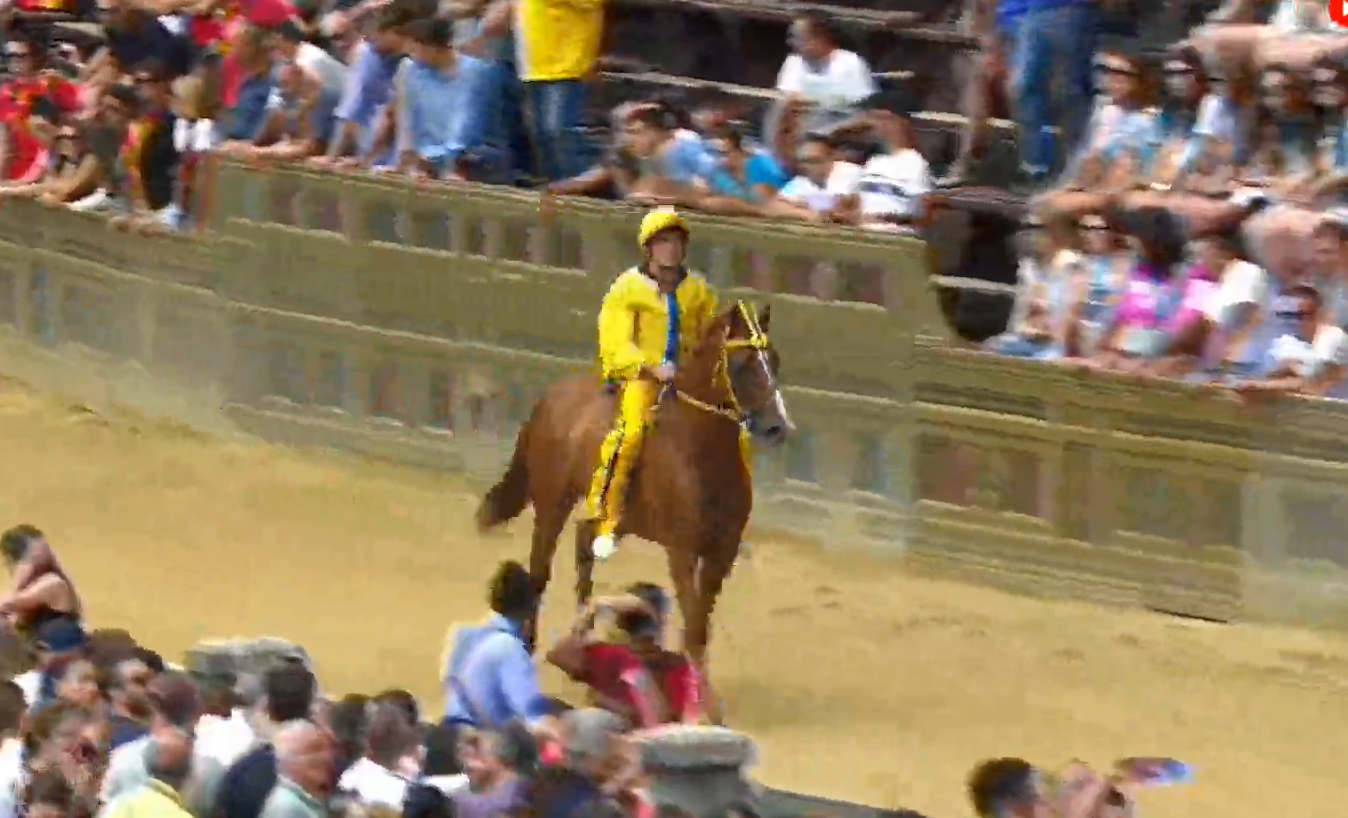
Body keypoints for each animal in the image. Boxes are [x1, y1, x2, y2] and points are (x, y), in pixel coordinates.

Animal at [474, 300, 787, 679]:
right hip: (552, 502)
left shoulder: (721, 554)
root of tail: (550, 399)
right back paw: (531, 643)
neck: (700, 454)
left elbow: (700, 626)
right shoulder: (681, 551)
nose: (777, 426)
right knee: (539, 571)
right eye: (742, 364)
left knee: (584, 548)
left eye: (774, 359)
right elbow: (692, 624)